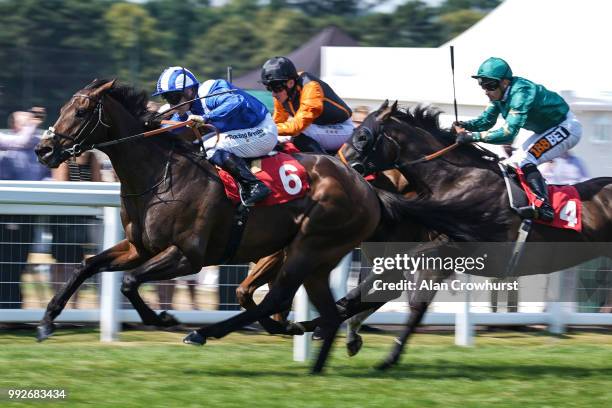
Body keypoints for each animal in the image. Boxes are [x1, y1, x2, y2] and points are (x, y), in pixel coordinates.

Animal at [33, 79, 394, 372]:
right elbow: (87, 266)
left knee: (277, 299)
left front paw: (162, 317)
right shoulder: (138, 248)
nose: (43, 149)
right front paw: (47, 322)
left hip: (309, 246)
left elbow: (130, 282)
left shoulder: (187, 255)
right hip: (316, 259)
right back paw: (311, 359)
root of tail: (365, 187)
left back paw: (204, 332)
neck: (161, 175)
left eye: (81, 112)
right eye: (62, 108)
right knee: (320, 312)